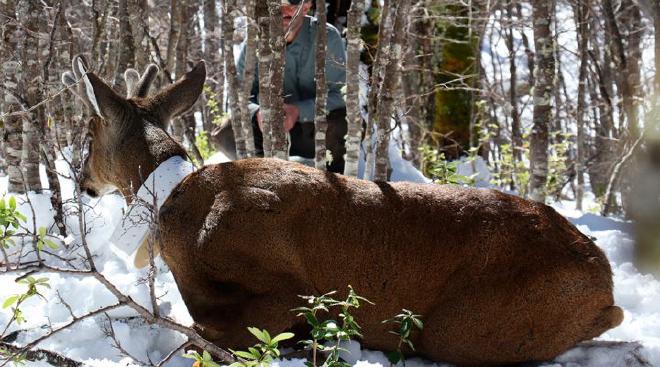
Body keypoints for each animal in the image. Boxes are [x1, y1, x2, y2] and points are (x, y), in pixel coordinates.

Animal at [64, 55, 628, 367]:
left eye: (89, 132)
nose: (82, 180)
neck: (173, 204)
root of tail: (605, 279)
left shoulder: (290, 291)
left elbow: (203, 338)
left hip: (461, 328)